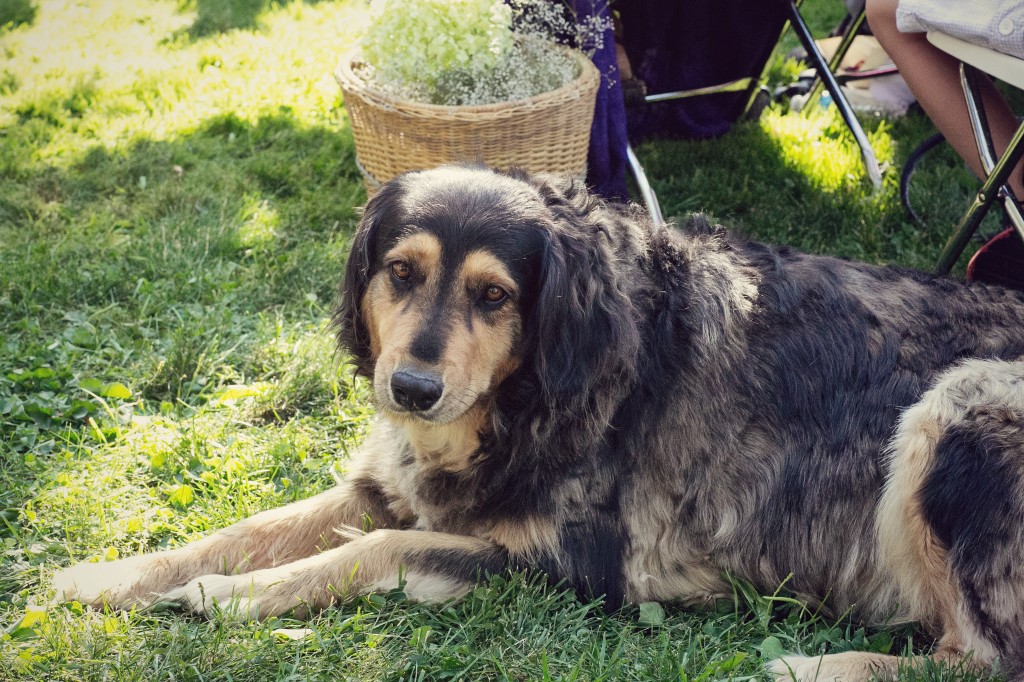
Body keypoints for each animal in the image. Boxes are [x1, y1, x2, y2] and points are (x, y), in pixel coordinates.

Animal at [54, 165, 1024, 679]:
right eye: (400, 272)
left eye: (494, 295)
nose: (410, 389)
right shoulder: (386, 485)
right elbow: (243, 530)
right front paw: (110, 575)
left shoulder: (578, 565)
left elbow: (379, 550)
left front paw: (233, 597)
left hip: (957, 408)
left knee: (988, 662)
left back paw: (810, 666)